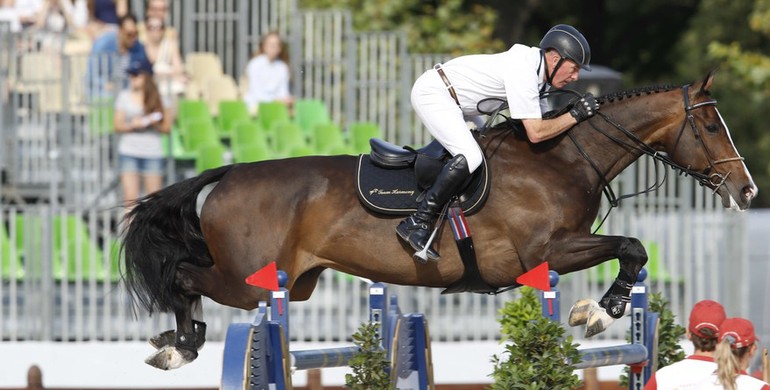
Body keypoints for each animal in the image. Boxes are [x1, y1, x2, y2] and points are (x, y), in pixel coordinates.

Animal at [123, 71, 752, 368]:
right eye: (711, 126)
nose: (746, 189)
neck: (562, 157)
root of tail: (229, 172)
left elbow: (631, 249)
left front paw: (599, 309)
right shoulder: (546, 252)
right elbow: (633, 247)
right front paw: (598, 312)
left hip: (295, 284)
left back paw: (176, 342)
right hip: (251, 282)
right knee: (183, 276)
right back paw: (180, 344)